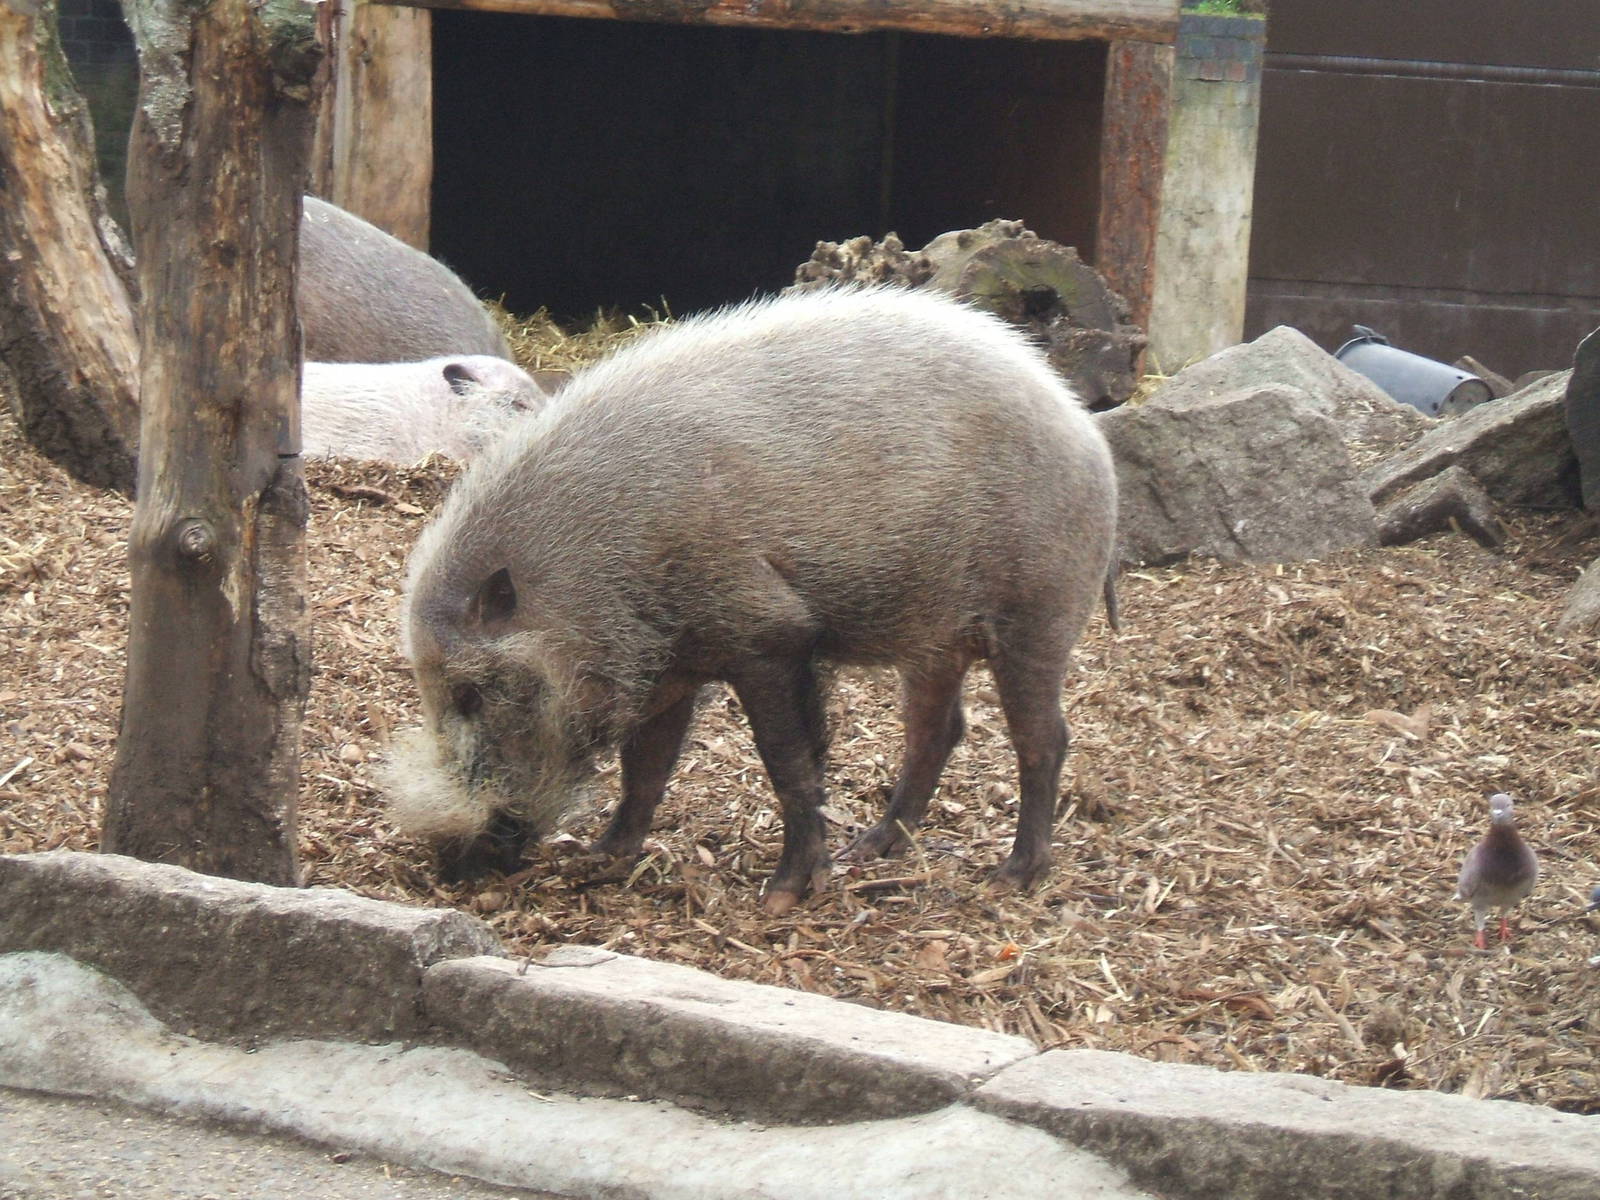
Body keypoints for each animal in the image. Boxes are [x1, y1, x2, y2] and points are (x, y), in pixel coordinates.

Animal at [384, 286, 1119, 913]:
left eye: (472, 692)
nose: (451, 862)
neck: (599, 569)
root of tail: (1091, 440)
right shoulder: (669, 668)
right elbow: (644, 768)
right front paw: (599, 859)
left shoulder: (768, 634)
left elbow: (789, 762)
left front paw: (782, 896)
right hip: (934, 639)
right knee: (938, 731)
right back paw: (869, 851)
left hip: (1039, 613)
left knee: (1045, 738)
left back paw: (1011, 877)